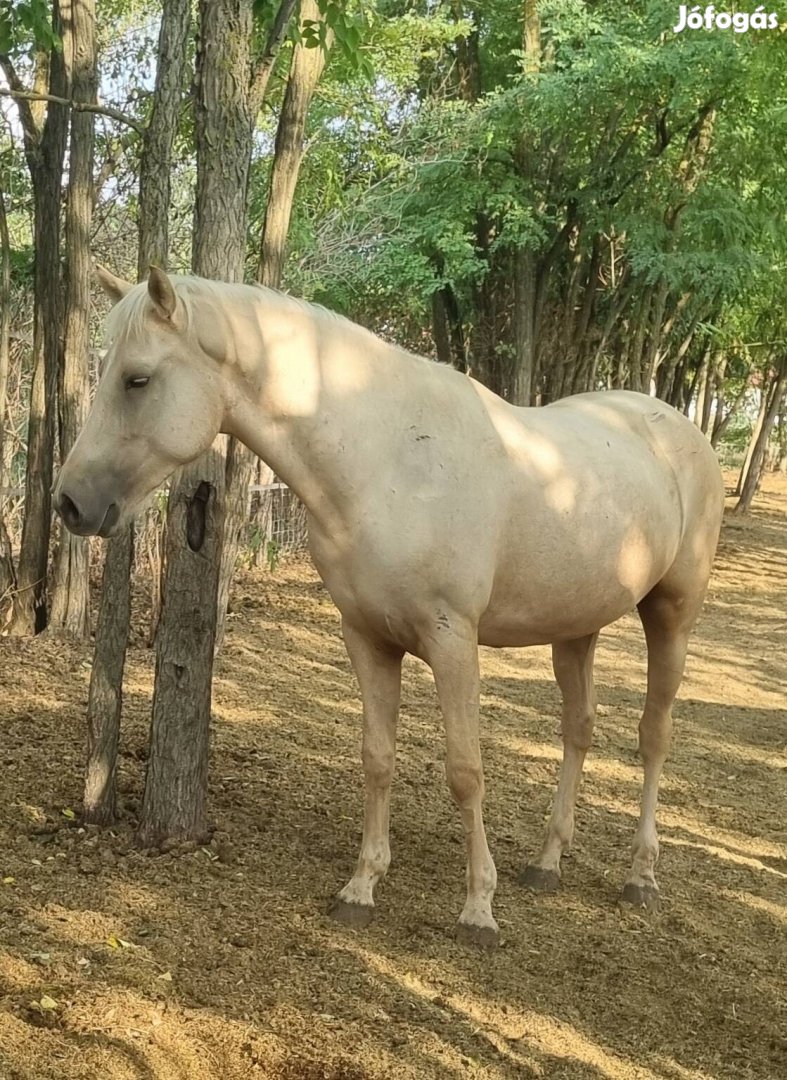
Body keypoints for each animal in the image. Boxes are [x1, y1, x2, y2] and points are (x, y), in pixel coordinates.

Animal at [53, 267, 725, 946]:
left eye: (137, 378)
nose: (69, 502)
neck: (389, 462)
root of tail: (678, 427)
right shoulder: (367, 638)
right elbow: (377, 759)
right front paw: (361, 887)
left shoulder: (453, 641)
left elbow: (465, 770)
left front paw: (479, 908)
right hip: (576, 625)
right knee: (579, 729)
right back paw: (546, 861)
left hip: (672, 616)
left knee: (653, 736)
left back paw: (641, 875)